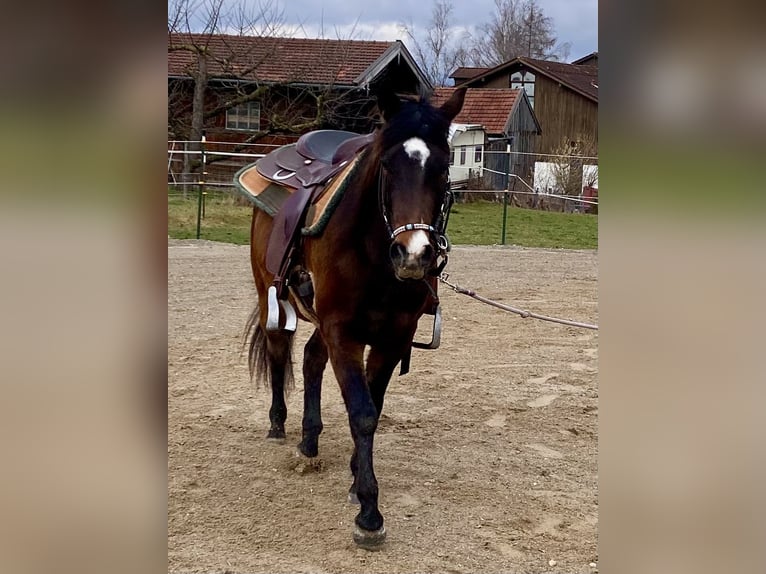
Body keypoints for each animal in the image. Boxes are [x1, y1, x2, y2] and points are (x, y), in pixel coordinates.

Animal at [246, 86, 466, 548]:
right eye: (387, 165)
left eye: (443, 167)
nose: (414, 255)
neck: (373, 253)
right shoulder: (342, 332)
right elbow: (362, 412)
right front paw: (369, 512)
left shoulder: (392, 337)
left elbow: (373, 405)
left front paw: (354, 478)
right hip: (268, 292)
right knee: (279, 351)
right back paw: (278, 425)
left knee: (311, 359)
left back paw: (309, 440)